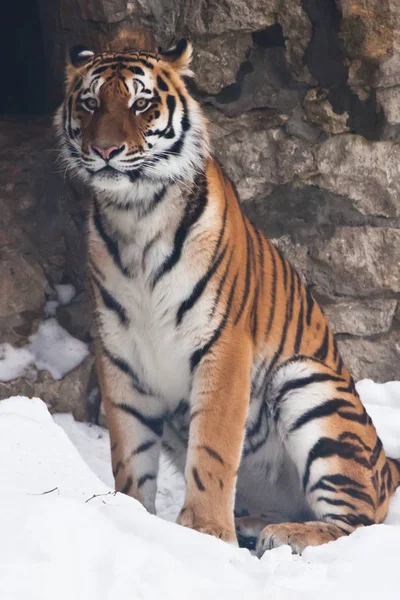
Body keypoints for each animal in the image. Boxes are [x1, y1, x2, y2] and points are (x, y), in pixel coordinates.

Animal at [55, 27, 400, 552]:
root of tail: (387, 467)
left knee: (356, 522)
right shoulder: (119, 355)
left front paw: (204, 531)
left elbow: (213, 446)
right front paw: (131, 516)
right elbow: (129, 452)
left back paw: (284, 535)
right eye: (91, 103)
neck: (135, 216)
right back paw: (255, 523)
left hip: (308, 383)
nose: (106, 150)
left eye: (140, 104)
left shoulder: (223, 344)